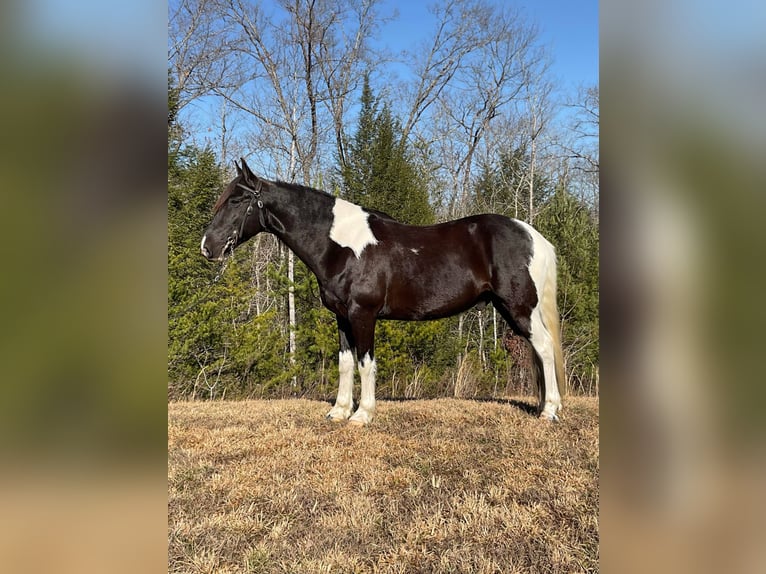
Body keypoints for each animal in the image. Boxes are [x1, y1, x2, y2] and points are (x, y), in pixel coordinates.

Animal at [201, 160, 568, 426]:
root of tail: (533, 235)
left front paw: (362, 415)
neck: (342, 246)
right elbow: (345, 364)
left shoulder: (363, 314)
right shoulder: (342, 317)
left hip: (519, 307)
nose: (207, 247)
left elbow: (366, 363)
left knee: (544, 347)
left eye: (237, 200)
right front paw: (338, 411)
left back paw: (549, 411)